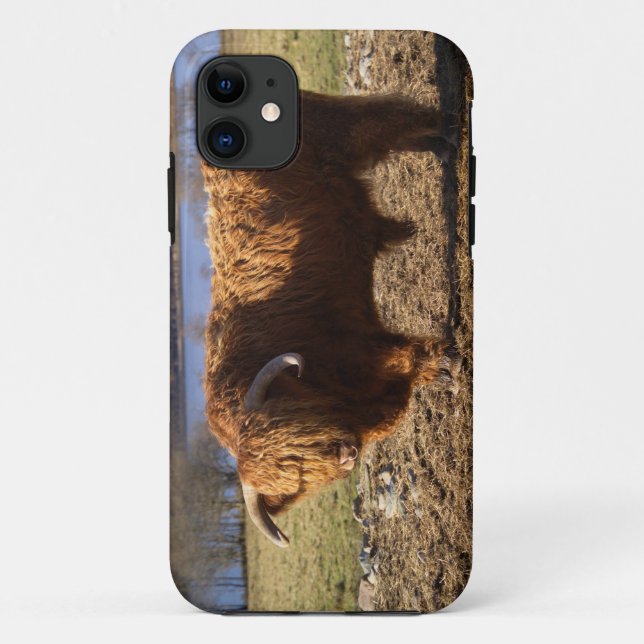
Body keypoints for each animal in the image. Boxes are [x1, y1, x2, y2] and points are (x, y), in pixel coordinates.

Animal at [202, 90, 461, 547]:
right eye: (296, 472)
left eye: (295, 436)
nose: (345, 452)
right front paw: (441, 371)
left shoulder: (356, 341)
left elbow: (404, 354)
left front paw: (448, 363)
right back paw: (440, 150)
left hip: (337, 127)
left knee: (384, 118)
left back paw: (450, 128)